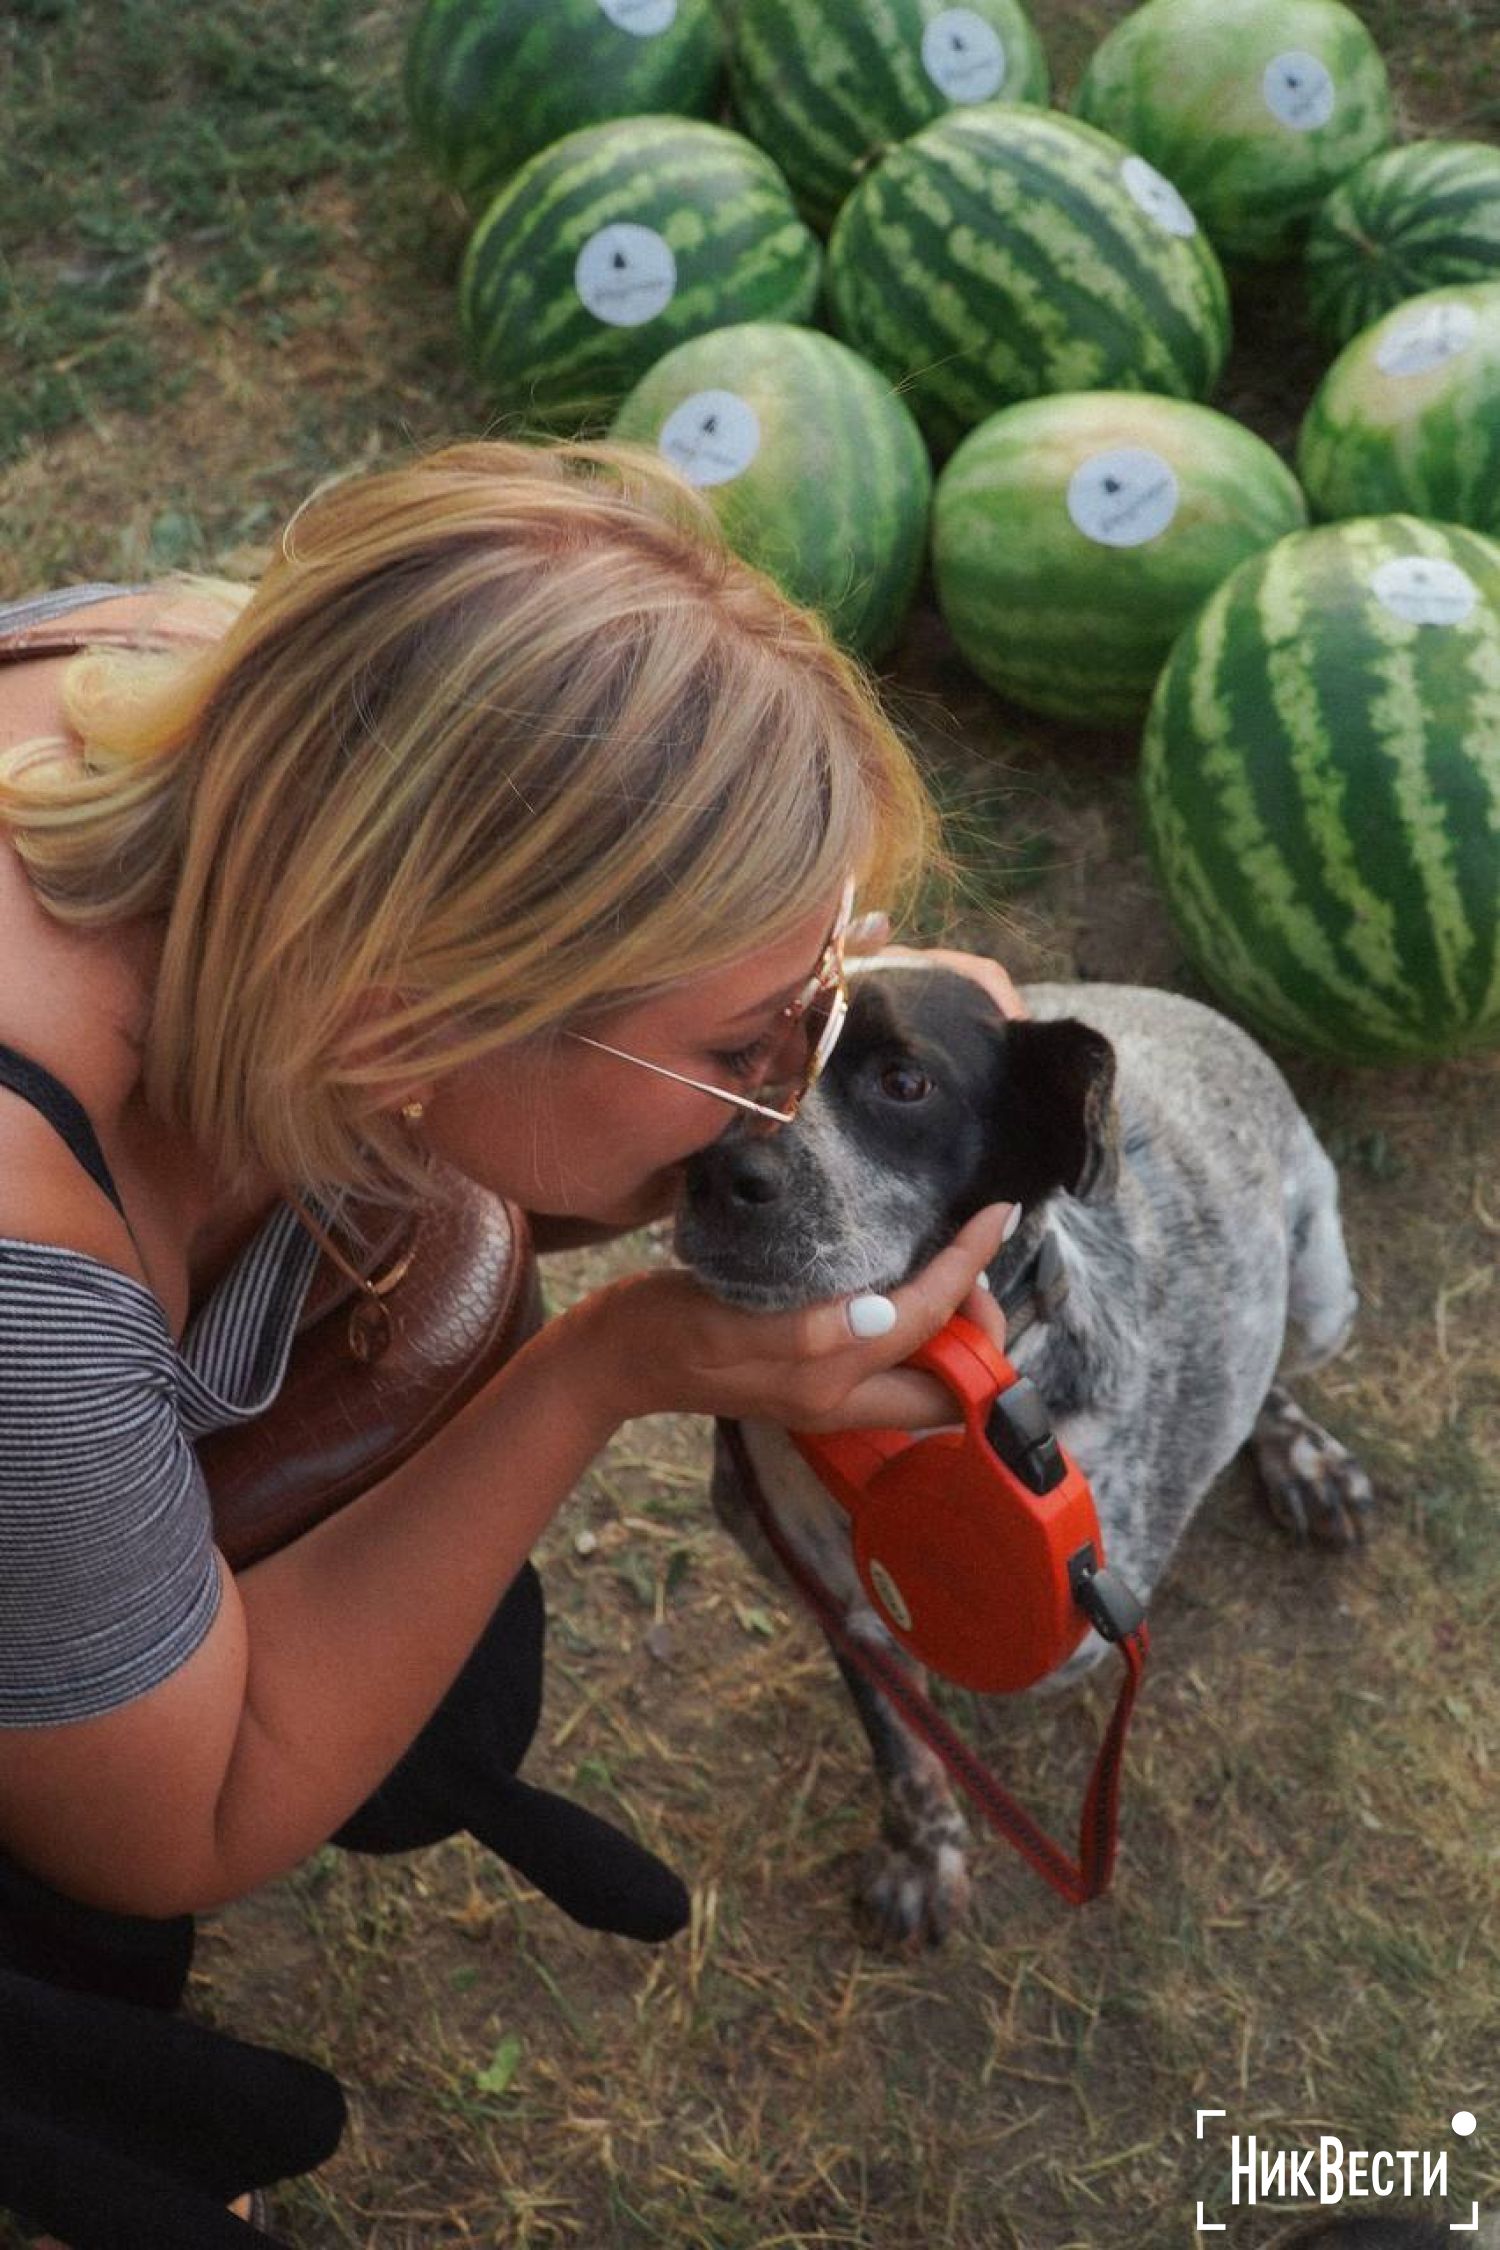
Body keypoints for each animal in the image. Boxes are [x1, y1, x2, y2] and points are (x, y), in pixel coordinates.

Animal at [679, 958, 1376, 1944]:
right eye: (732, 1058)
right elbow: (901, 1746)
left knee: (1276, 1360)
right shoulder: (836, 1604)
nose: (712, 1171)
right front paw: (920, 1853)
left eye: (904, 1081)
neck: (897, 1431)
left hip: (1321, 1295)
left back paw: (1300, 1454)